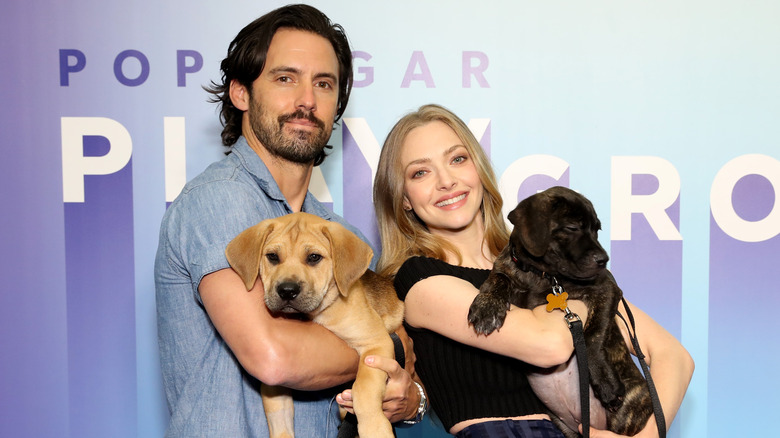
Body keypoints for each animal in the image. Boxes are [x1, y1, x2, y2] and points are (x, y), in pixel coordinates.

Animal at [222, 212, 400, 438]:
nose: (287, 290)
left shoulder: (376, 343)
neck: (311, 315)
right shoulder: (275, 385)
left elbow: (364, 389)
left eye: (314, 257)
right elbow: (279, 419)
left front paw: (374, 428)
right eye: (272, 256)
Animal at [470, 186, 652, 436]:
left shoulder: (607, 289)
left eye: (597, 229)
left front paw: (605, 382)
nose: (603, 260)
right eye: (572, 228)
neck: (542, 274)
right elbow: (499, 278)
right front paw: (487, 307)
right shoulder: (507, 270)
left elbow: (594, 334)